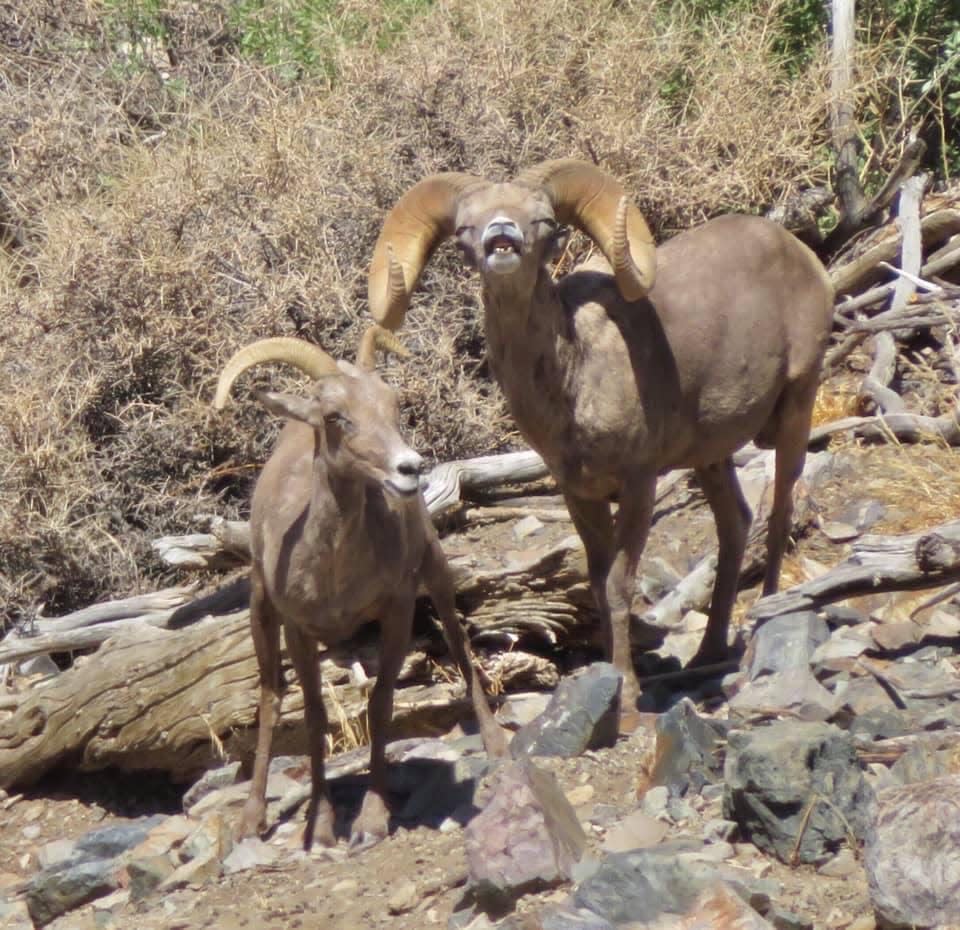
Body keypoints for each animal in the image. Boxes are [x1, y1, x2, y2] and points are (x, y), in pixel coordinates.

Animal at [213, 326, 506, 848]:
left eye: (393, 406)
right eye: (336, 417)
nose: (409, 468)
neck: (333, 574)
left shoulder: (397, 609)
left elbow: (381, 703)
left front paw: (370, 823)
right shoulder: (298, 629)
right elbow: (312, 717)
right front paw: (321, 828)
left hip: (437, 574)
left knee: (459, 645)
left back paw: (495, 746)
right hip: (260, 612)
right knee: (270, 699)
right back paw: (253, 820)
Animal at [366, 160, 832, 708]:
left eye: (544, 221)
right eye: (465, 228)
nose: (501, 238)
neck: (574, 381)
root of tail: (797, 250)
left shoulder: (638, 484)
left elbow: (617, 586)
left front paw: (628, 695)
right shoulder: (579, 495)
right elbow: (594, 584)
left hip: (798, 405)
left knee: (779, 513)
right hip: (710, 458)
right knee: (735, 524)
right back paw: (709, 652)